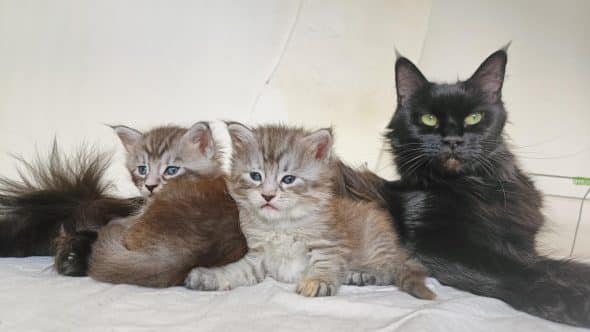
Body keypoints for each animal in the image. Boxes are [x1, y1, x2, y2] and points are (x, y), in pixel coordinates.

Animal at [187, 123, 438, 300]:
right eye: (256, 176)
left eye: (288, 179)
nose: (267, 195)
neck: (282, 225)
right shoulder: (257, 257)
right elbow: (236, 271)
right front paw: (210, 276)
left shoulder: (329, 243)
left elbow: (325, 262)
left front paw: (318, 281)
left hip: (376, 241)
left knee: (389, 270)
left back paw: (362, 274)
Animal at [342, 48, 590, 326]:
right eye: (429, 119)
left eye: (474, 117)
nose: (452, 140)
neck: (474, 186)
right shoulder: (435, 244)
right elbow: (513, 271)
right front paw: (569, 300)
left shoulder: (520, 246)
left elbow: (557, 265)